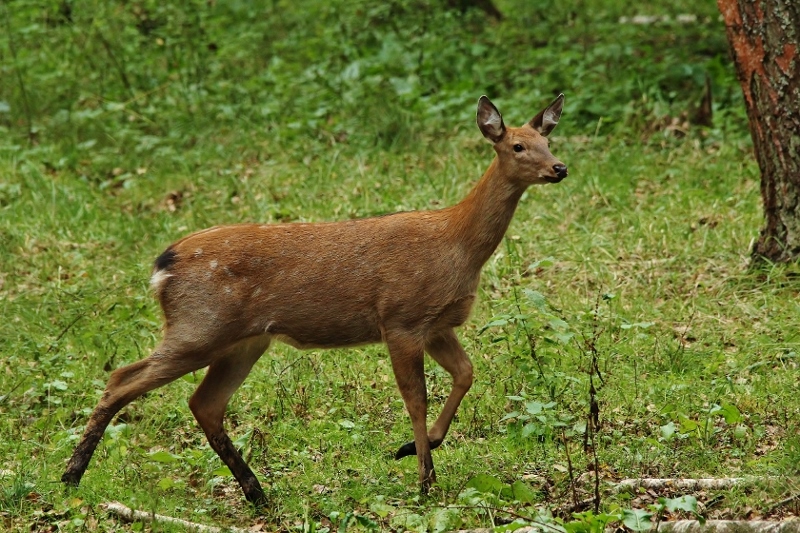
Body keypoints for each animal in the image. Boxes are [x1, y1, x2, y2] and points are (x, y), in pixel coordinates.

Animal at [62, 93, 568, 504]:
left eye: (548, 141)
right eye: (517, 146)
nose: (559, 168)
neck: (457, 245)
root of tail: (162, 266)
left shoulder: (438, 324)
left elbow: (465, 374)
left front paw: (415, 451)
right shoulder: (400, 318)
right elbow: (416, 399)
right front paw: (425, 480)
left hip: (243, 341)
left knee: (203, 403)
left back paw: (257, 492)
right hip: (199, 325)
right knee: (121, 379)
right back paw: (71, 477)